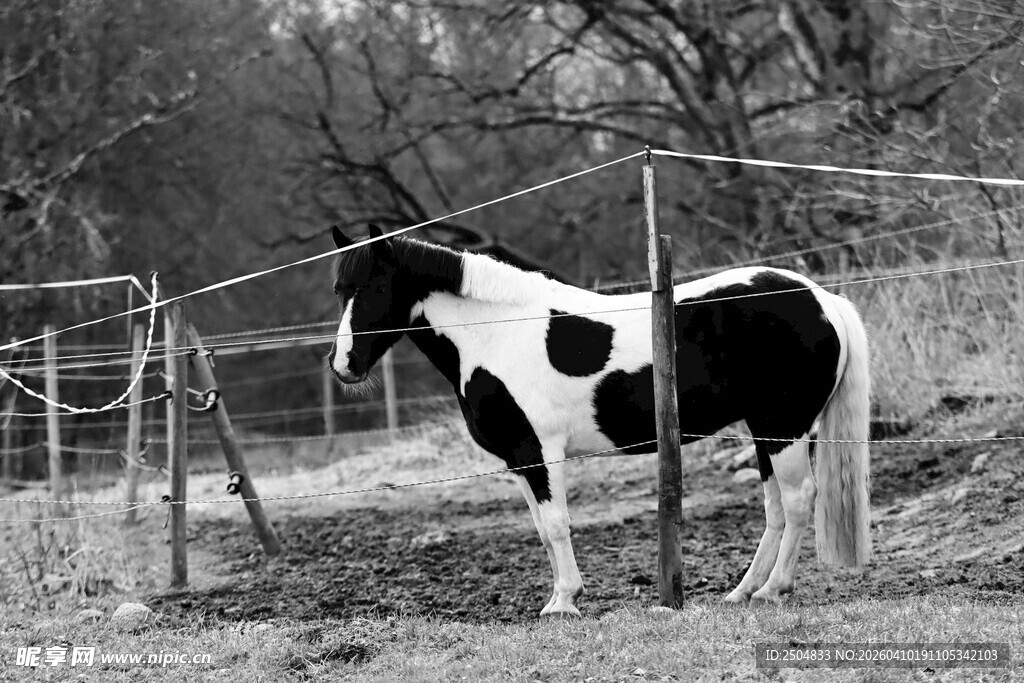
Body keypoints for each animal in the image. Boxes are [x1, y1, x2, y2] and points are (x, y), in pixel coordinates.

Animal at [327, 224, 871, 617]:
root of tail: (823, 299)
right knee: (776, 507)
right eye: (339, 290)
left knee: (798, 500)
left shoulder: (540, 452)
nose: (343, 365)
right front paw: (557, 598)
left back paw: (773, 590)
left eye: (376, 285)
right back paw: (743, 591)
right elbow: (542, 529)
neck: (496, 333)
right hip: (764, 430)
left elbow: (557, 524)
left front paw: (565, 602)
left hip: (784, 426)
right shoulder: (518, 460)